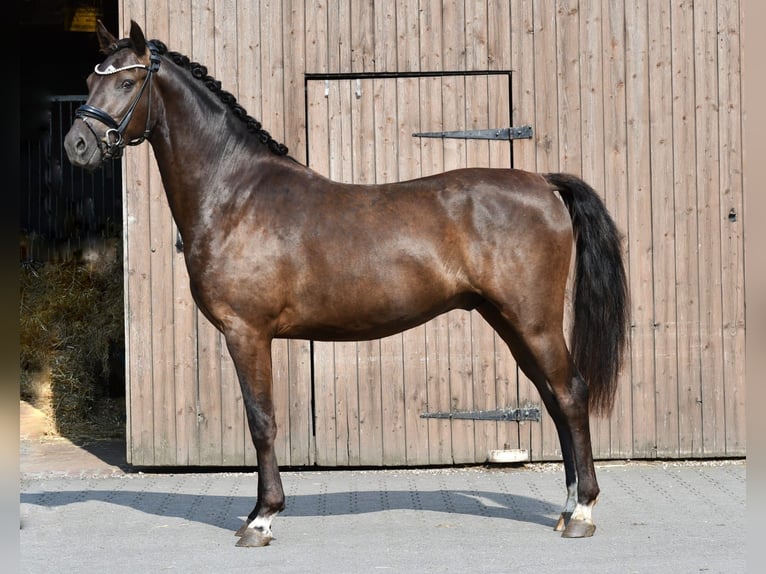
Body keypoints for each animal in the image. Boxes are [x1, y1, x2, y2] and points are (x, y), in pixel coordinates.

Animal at [64, 20, 629, 547]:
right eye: (91, 80)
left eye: (128, 81)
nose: (77, 145)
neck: (236, 194)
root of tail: (544, 184)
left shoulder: (247, 332)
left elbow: (261, 421)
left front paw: (262, 517)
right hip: (510, 323)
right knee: (553, 400)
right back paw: (567, 507)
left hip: (532, 322)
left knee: (570, 394)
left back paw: (583, 511)